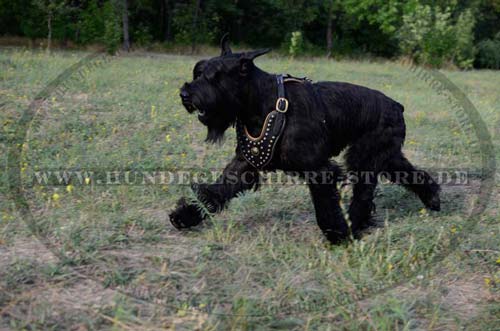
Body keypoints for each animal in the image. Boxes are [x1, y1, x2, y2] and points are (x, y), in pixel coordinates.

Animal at [170, 35, 440, 244]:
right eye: (198, 72)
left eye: (214, 77)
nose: (184, 94)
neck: (262, 102)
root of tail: (397, 106)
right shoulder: (244, 165)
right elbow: (214, 191)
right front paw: (186, 215)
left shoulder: (319, 170)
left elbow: (325, 208)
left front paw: (336, 234)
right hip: (385, 157)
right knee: (412, 174)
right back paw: (432, 199)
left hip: (365, 159)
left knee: (363, 195)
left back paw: (352, 227)